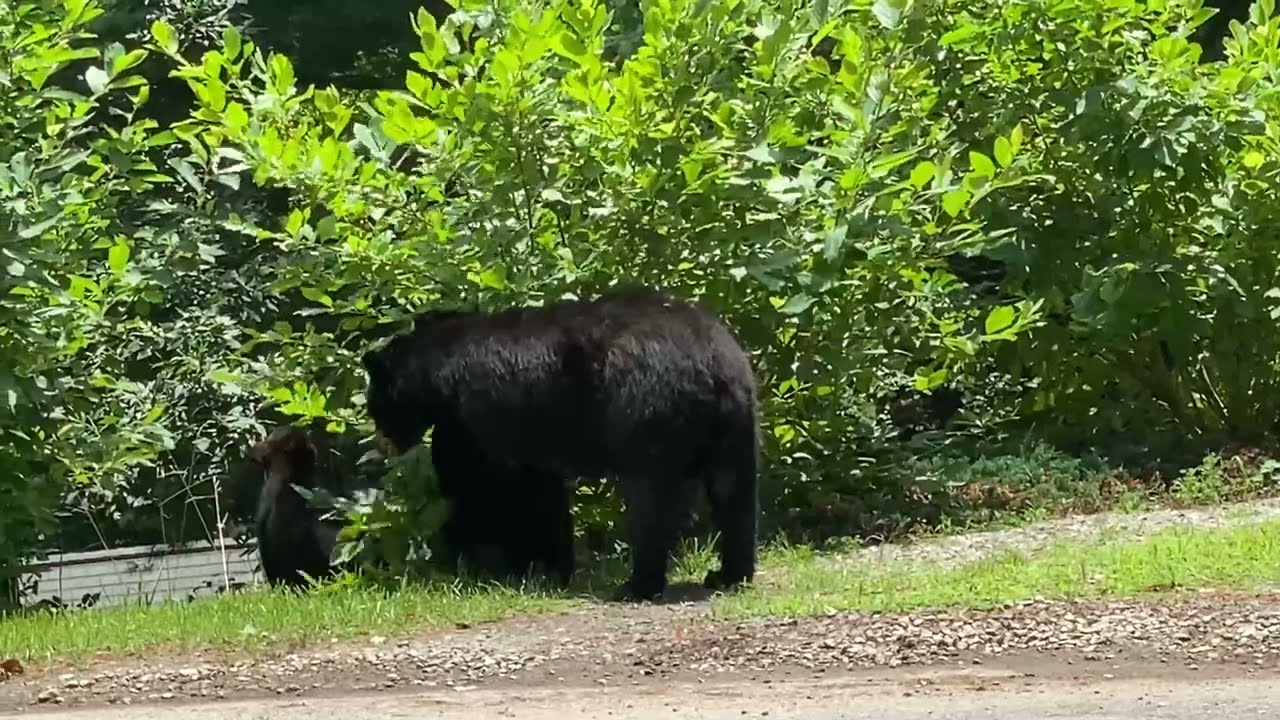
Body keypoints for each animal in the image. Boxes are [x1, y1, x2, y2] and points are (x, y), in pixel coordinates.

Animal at [359, 286, 760, 602]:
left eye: (373, 405)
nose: (384, 443)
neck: (441, 376)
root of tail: (712, 366)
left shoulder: (484, 417)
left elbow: (490, 487)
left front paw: (501, 563)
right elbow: (541, 488)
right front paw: (549, 566)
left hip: (649, 412)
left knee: (651, 502)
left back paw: (637, 585)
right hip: (736, 424)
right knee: (734, 496)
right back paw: (728, 574)